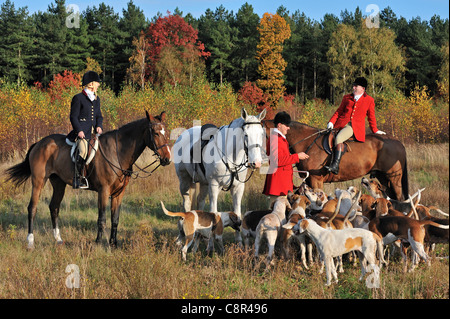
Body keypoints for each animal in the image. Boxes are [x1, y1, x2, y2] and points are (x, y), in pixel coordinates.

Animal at [6, 111, 171, 249]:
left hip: (58, 183)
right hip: (38, 181)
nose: (167, 159)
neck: (117, 153)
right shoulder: (103, 191)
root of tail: (39, 143)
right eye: (156, 133)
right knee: (32, 208)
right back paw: (30, 242)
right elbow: (102, 218)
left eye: (167, 133)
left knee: (54, 207)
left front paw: (113, 244)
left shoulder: (119, 193)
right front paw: (98, 243)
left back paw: (58, 240)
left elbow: (115, 219)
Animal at [262, 121, 410, 201]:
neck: (306, 142)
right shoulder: (308, 180)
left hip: (394, 178)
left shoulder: (316, 180)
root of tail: (398, 142)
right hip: (383, 177)